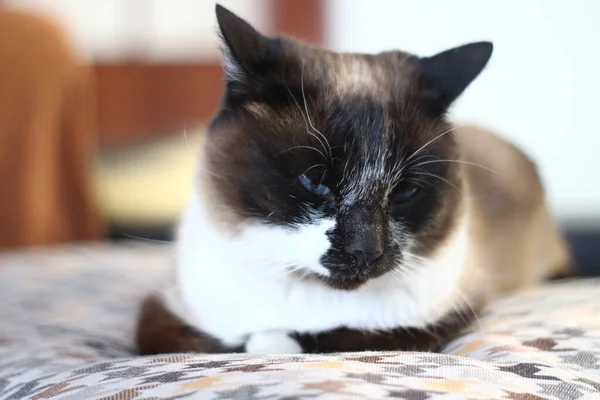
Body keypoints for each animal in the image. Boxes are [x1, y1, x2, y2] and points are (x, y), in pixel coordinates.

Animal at [135, 4, 572, 354]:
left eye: (405, 192)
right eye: (315, 182)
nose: (366, 250)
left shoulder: (438, 320)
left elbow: (328, 340)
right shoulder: (162, 312)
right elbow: (208, 341)